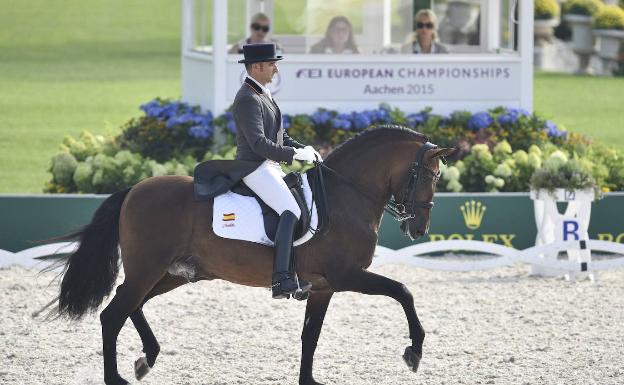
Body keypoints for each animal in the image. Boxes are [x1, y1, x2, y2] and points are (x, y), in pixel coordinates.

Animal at [54, 124, 454, 382]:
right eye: (430, 176)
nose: (418, 229)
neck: (346, 197)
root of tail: (134, 190)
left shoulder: (323, 287)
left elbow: (310, 336)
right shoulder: (347, 275)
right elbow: (403, 291)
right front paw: (414, 352)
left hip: (170, 274)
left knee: (130, 305)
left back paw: (146, 359)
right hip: (149, 270)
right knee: (113, 315)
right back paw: (119, 376)